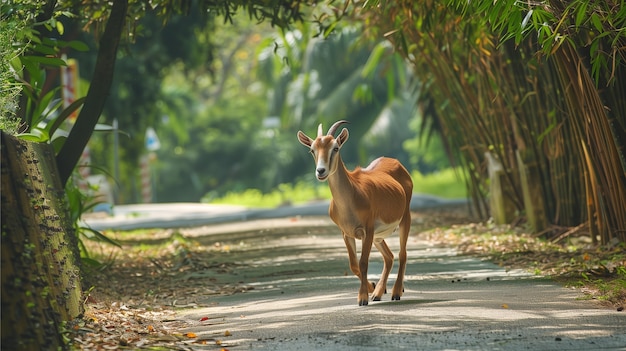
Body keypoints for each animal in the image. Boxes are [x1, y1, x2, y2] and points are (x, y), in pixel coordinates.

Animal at [296, 120, 412, 306]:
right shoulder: (346, 233)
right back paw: (378, 293)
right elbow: (354, 264)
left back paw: (396, 292)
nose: (321, 171)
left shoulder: (367, 231)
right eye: (312, 149)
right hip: (379, 236)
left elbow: (363, 262)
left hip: (404, 219)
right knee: (389, 256)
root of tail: (396, 163)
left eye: (335, 148)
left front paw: (362, 298)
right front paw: (371, 288)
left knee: (402, 254)